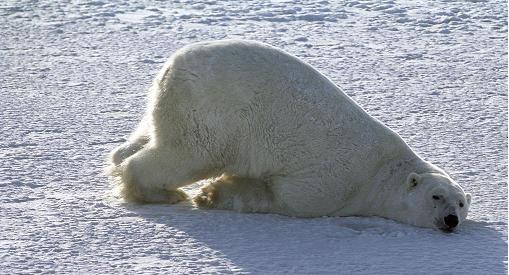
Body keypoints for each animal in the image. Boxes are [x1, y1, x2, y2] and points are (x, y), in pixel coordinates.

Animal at [108, 39, 472, 233]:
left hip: (171, 103)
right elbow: (282, 195)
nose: (451, 219)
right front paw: (213, 193)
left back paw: (121, 159)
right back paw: (160, 192)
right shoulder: (334, 180)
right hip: (212, 112)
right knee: (191, 153)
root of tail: (173, 65)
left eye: (462, 202)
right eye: (436, 196)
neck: (382, 170)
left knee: (148, 136)